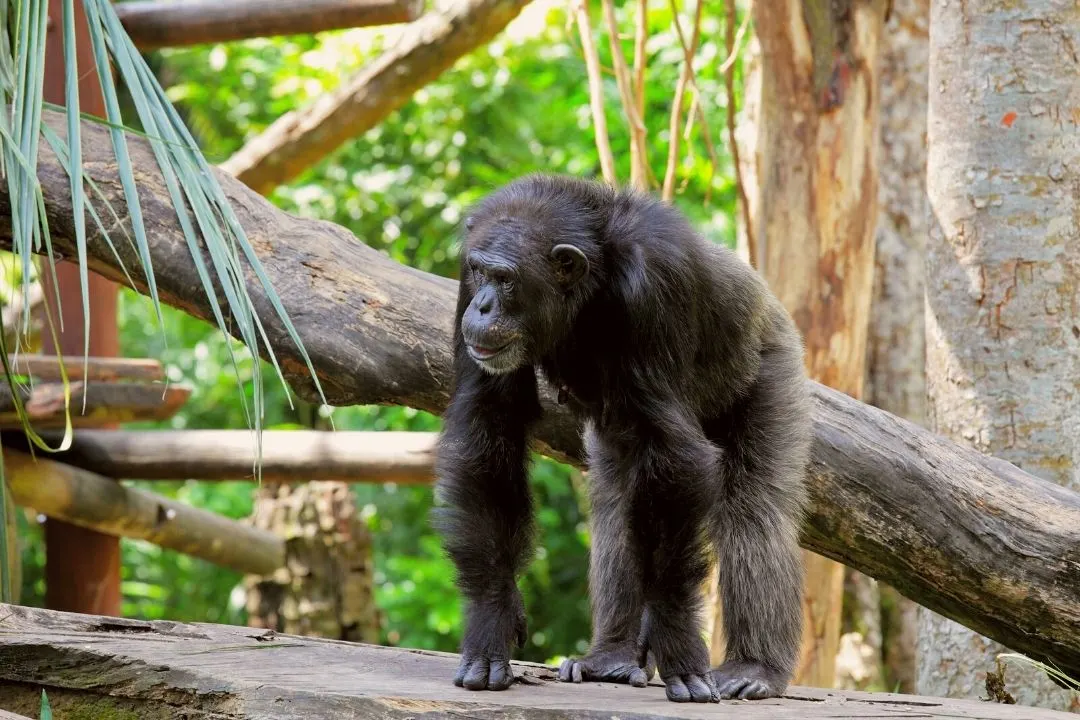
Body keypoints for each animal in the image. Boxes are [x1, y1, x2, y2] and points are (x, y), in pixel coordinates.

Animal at [429, 172, 812, 703]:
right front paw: (493, 620)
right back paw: (611, 656)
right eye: (479, 271)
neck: (591, 286)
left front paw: (677, 641)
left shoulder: (658, 283)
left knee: (755, 509)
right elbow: (490, 425)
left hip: (774, 365)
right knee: (614, 501)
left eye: (505, 279)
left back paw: (754, 667)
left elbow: (674, 454)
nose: (483, 306)